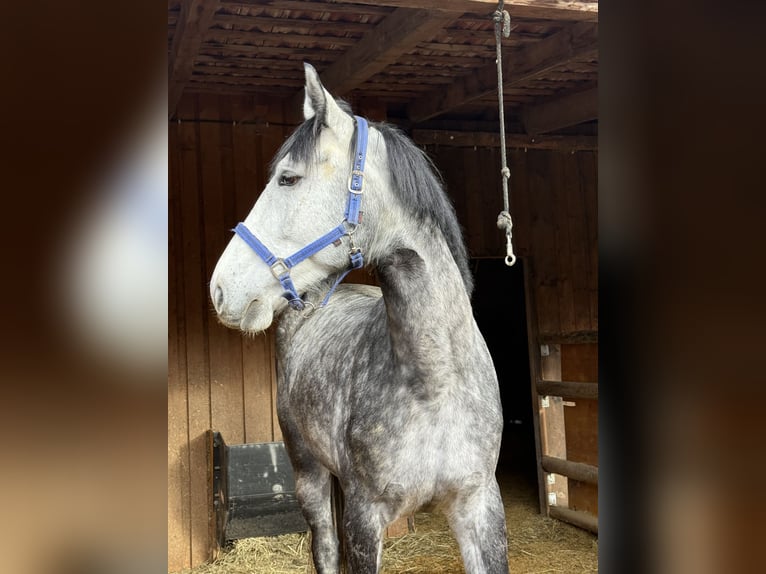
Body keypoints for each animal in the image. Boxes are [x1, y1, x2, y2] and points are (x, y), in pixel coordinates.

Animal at [210, 63, 509, 574]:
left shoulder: (480, 506)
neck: (434, 381)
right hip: (308, 472)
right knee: (325, 548)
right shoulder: (365, 516)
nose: (220, 289)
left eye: (288, 179)